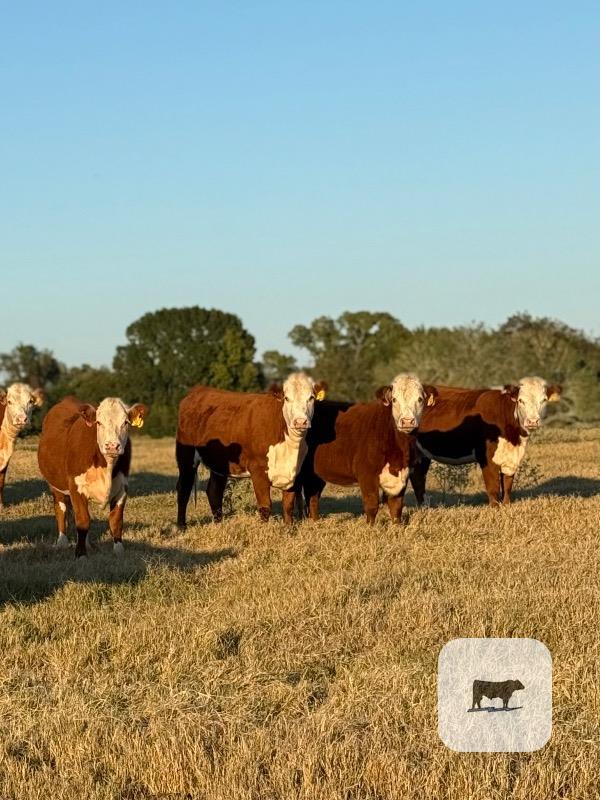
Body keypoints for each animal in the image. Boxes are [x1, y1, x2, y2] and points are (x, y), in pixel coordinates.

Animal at [37, 396, 150, 557]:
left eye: (125, 422)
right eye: (99, 422)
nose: (112, 446)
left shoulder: (122, 488)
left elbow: (116, 521)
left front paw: (119, 551)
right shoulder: (76, 487)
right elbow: (82, 521)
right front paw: (80, 554)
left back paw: (87, 544)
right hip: (55, 486)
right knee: (61, 509)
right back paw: (62, 542)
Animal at [176, 372, 327, 526]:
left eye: (311, 398)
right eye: (286, 398)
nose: (300, 422)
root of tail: (198, 390)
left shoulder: (294, 472)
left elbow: (288, 504)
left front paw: (288, 528)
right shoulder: (258, 469)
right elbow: (265, 506)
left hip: (219, 462)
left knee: (214, 491)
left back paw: (219, 523)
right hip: (186, 455)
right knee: (183, 489)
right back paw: (181, 526)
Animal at [298, 374, 437, 524]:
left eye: (420, 399)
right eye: (394, 399)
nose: (407, 421)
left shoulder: (403, 475)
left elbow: (396, 506)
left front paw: (397, 526)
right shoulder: (367, 474)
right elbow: (372, 504)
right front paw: (371, 527)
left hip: (315, 473)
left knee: (312, 496)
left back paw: (315, 522)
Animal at [411, 376, 562, 506]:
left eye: (543, 400)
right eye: (520, 400)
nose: (532, 421)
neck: (513, 439)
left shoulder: (511, 458)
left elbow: (507, 487)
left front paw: (506, 506)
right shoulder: (487, 458)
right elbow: (493, 488)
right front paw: (495, 509)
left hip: (421, 454)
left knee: (418, 479)